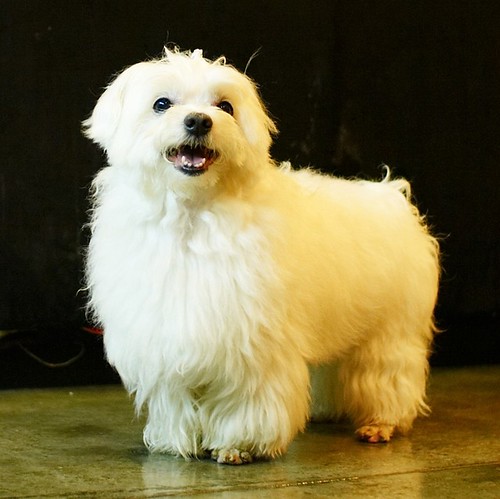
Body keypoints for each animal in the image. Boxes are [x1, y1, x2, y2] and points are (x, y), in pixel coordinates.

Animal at [83, 47, 440, 465]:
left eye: (225, 106)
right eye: (161, 104)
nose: (198, 121)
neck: (193, 213)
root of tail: (391, 195)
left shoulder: (253, 341)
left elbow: (247, 399)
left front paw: (239, 445)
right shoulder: (169, 334)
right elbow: (175, 398)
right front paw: (176, 441)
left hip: (390, 331)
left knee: (388, 375)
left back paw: (382, 423)